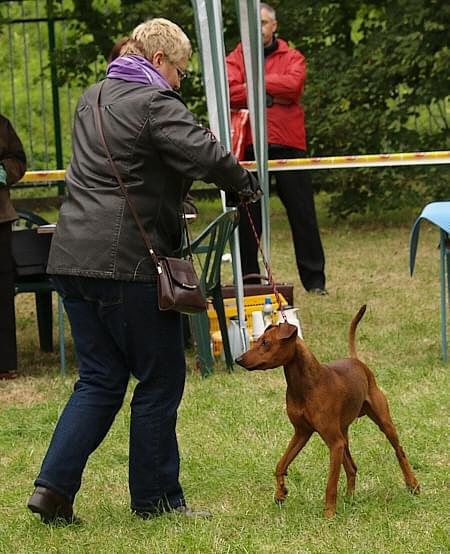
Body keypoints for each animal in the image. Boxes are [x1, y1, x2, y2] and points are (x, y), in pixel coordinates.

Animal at [236, 304, 418, 516]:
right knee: (352, 467)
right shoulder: (302, 433)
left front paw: (329, 513)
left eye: (266, 343)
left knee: (399, 451)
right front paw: (280, 493)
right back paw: (350, 498)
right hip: (343, 436)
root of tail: (356, 360)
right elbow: (280, 464)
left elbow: (330, 484)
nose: (238, 359)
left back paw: (413, 484)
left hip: (383, 422)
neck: (306, 386)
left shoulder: (333, 443)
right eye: (257, 341)